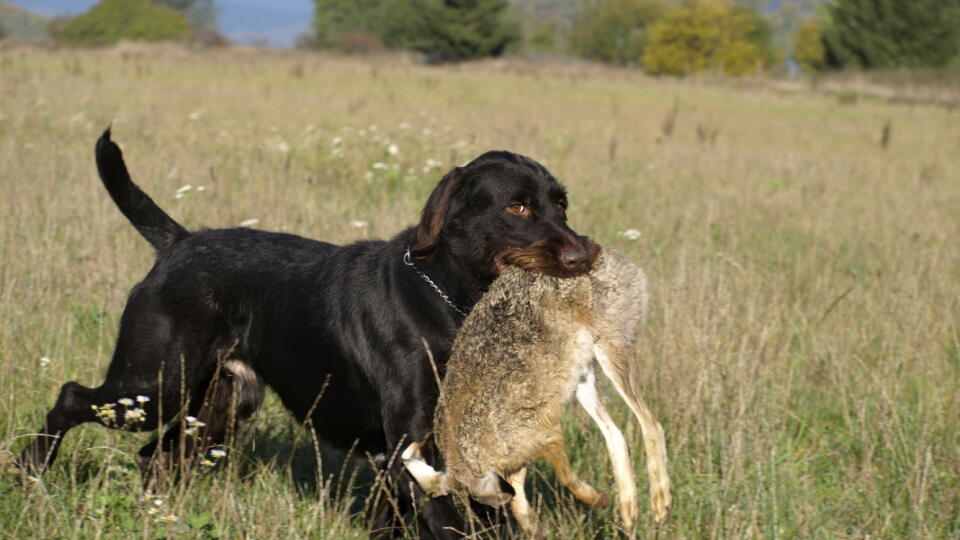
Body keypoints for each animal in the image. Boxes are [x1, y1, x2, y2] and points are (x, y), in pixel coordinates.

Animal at [18, 129, 596, 536]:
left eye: (561, 203)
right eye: (517, 206)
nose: (582, 256)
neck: (448, 299)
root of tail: (178, 243)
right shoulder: (414, 449)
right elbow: (449, 523)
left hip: (218, 403)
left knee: (153, 457)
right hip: (153, 384)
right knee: (72, 397)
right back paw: (31, 470)